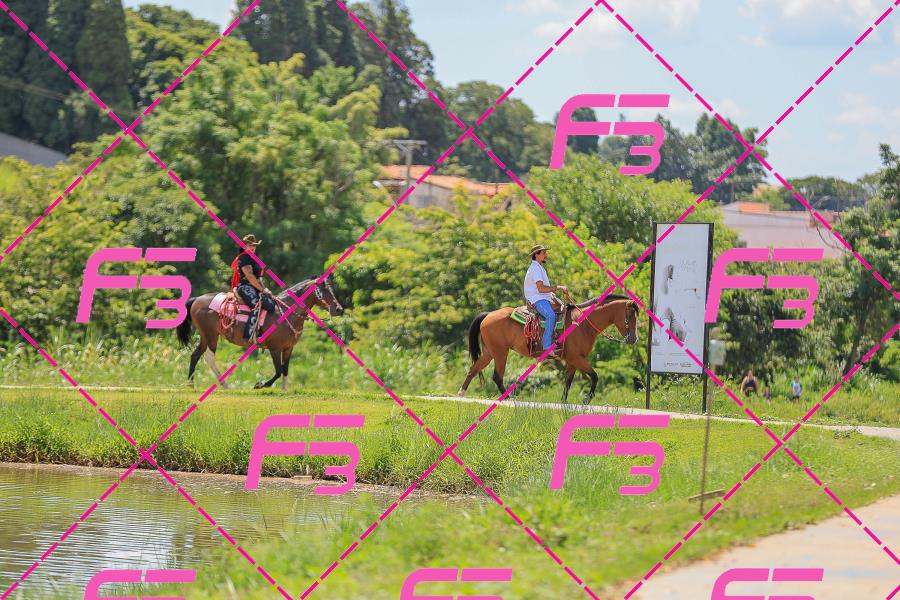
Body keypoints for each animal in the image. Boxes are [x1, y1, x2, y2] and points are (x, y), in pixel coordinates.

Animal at [175, 278, 343, 390]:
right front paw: (260, 384)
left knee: (195, 355)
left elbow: (285, 369)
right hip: (211, 335)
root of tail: (197, 299)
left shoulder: (288, 348)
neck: (285, 313)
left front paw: (284, 390)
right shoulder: (275, 348)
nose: (339, 309)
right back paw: (225, 384)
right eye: (325, 290)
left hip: (205, 336)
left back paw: (190, 383)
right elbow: (278, 370)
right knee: (209, 357)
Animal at [458, 295, 639, 404]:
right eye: (631, 316)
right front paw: (587, 400)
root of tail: (488, 315)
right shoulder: (576, 358)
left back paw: (461, 393)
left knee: (473, 369)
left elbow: (568, 382)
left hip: (489, 352)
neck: (583, 323)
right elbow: (594, 376)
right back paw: (509, 398)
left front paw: (563, 402)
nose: (633, 339)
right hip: (501, 352)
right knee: (497, 376)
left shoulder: (572, 361)